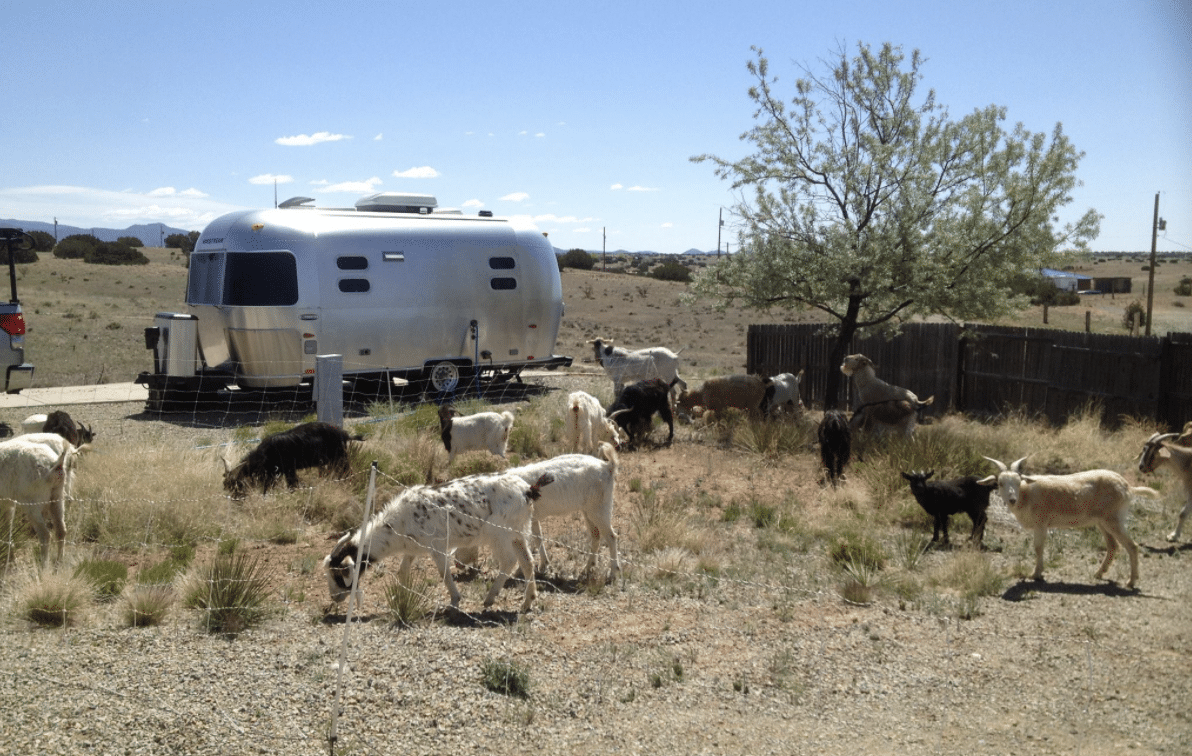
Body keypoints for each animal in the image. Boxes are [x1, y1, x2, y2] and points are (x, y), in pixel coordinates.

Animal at [0, 431, 78, 562]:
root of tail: (55, 463)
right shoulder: (7, 503)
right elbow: (7, 528)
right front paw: (10, 557)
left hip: (33, 501)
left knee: (45, 535)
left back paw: (43, 564)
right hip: (57, 495)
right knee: (61, 529)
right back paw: (59, 561)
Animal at [224, 422, 359, 498]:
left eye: (237, 484)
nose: (235, 499)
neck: (264, 455)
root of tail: (343, 433)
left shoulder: (288, 469)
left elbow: (291, 484)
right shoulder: (276, 473)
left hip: (340, 457)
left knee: (347, 471)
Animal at [321, 467, 553, 610]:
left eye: (338, 574)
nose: (334, 597)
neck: (398, 523)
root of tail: (527, 489)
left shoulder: (438, 547)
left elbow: (443, 574)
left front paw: (455, 600)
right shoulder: (411, 549)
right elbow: (402, 572)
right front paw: (399, 595)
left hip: (499, 534)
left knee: (509, 562)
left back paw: (490, 598)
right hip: (518, 532)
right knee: (527, 562)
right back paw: (528, 601)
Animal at [503, 441, 619, 577]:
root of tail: (608, 466)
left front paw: (519, 571)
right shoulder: (533, 519)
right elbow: (538, 539)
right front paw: (543, 565)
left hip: (600, 509)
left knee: (611, 537)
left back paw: (613, 573)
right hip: (588, 510)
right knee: (596, 536)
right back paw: (588, 567)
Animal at [977, 453, 1153, 589]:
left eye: (1018, 482)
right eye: (1000, 483)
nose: (1012, 499)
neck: (1026, 495)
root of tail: (1127, 486)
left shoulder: (1041, 524)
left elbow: (1038, 548)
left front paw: (1036, 574)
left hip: (1113, 519)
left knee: (1132, 546)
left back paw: (1131, 582)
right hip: (1103, 522)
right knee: (1113, 546)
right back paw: (1099, 573)